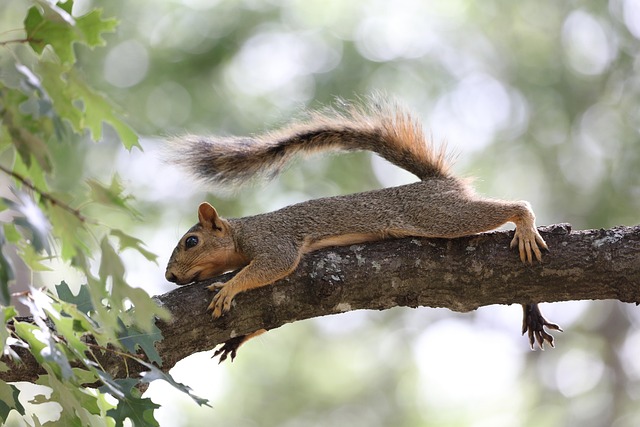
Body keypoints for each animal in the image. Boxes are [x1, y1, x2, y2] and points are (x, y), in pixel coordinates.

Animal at [165, 99, 560, 361]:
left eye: (191, 241)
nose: (169, 276)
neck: (242, 234)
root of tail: (439, 183)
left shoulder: (275, 241)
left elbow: (274, 266)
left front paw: (229, 287)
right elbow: (268, 318)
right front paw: (238, 339)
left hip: (439, 214)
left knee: (502, 210)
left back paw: (524, 222)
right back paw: (531, 308)